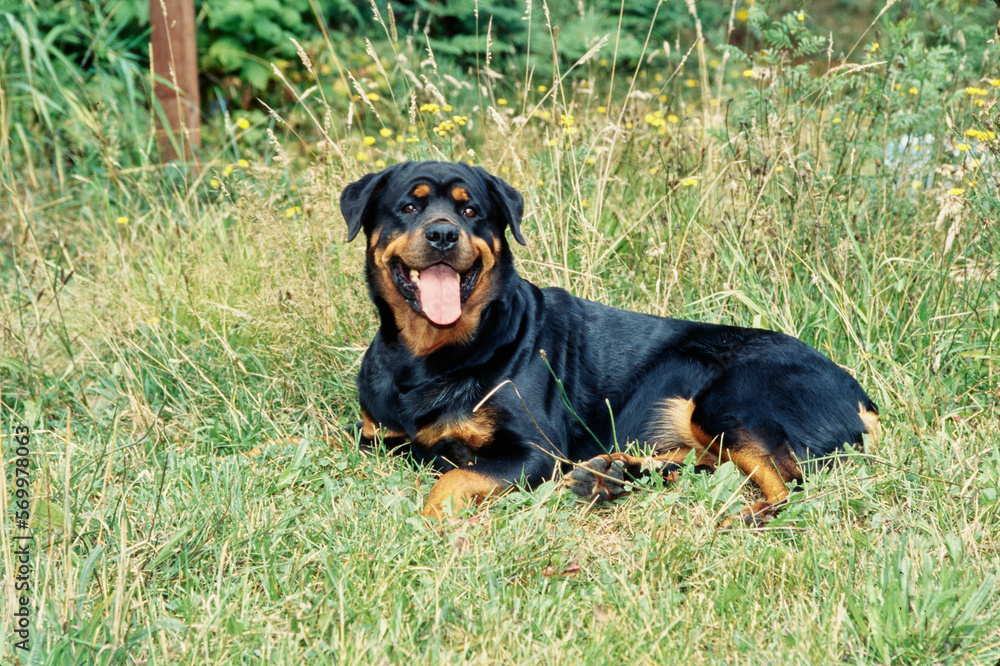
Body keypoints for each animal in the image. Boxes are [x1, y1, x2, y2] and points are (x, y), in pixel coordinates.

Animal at [340, 161, 880, 524]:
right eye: (409, 207)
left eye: (472, 210)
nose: (443, 234)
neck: (434, 355)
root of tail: (863, 398)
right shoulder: (375, 438)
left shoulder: (536, 451)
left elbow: (453, 476)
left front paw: (436, 517)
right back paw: (607, 475)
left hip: (728, 401)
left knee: (789, 483)